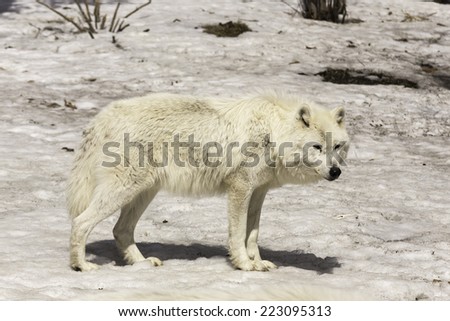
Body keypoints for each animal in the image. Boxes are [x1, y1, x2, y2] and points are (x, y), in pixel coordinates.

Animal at [67, 91, 350, 272]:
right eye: (317, 147)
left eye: (336, 146)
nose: (335, 171)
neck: (273, 134)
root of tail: (102, 117)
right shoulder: (240, 188)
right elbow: (238, 234)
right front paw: (244, 265)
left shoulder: (259, 191)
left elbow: (253, 235)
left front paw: (257, 262)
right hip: (124, 191)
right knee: (80, 223)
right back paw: (82, 266)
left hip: (144, 192)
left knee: (121, 230)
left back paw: (141, 264)